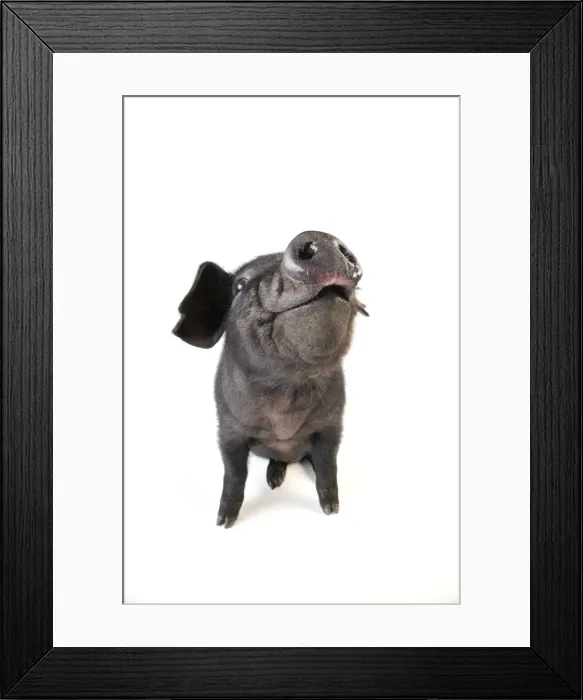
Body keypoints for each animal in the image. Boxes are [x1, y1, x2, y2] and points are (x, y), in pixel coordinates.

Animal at [172, 230, 368, 528]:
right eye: (239, 285)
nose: (320, 236)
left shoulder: (332, 426)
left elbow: (327, 466)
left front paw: (331, 510)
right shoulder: (228, 430)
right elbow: (234, 474)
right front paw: (223, 522)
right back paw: (273, 481)